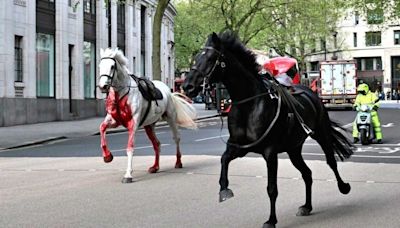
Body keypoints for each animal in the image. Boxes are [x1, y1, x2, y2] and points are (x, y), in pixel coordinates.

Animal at [97, 48, 197, 183]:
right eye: (100, 66)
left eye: (112, 66)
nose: (103, 86)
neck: (122, 93)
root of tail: (168, 90)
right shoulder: (114, 120)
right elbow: (102, 129)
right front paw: (107, 156)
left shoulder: (133, 123)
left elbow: (130, 147)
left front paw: (128, 175)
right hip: (149, 125)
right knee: (157, 144)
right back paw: (155, 167)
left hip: (171, 118)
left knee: (176, 138)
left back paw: (178, 162)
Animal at [182, 31, 354, 227]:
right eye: (196, 57)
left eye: (210, 58)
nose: (187, 86)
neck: (248, 104)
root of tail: (310, 92)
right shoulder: (239, 147)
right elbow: (224, 160)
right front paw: (224, 190)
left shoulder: (270, 152)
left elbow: (272, 188)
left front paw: (271, 220)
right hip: (294, 148)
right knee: (307, 173)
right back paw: (307, 206)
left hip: (321, 133)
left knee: (331, 161)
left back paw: (343, 187)